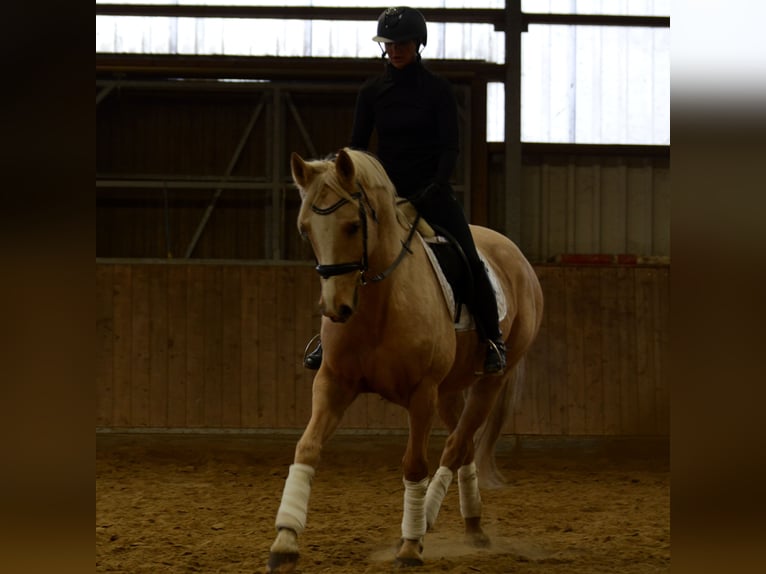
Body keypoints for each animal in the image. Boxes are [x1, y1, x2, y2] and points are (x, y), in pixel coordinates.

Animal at [266, 148, 543, 572]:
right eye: (305, 230)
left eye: (352, 226)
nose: (335, 308)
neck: (378, 303)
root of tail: (515, 255)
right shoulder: (332, 382)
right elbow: (307, 447)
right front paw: (285, 539)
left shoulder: (421, 393)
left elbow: (415, 464)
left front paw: (411, 545)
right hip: (450, 390)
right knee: (463, 446)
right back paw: (473, 527)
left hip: (490, 380)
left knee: (456, 446)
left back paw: (424, 524)